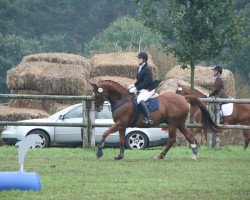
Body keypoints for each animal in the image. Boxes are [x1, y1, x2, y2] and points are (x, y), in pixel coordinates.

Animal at [90, 79, 221, 160]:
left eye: (96, 95)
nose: (97, 108)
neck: (122, 100)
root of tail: (184, 98)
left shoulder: (120, 123)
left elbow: (105, 133)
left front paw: (99, 152)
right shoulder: (122, 125)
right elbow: (121, 140)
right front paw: (120, 156)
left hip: (173, 123)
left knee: (172, 139)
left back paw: (160, 156)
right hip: (180, 123)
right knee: (188, 136)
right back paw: (194, 154)